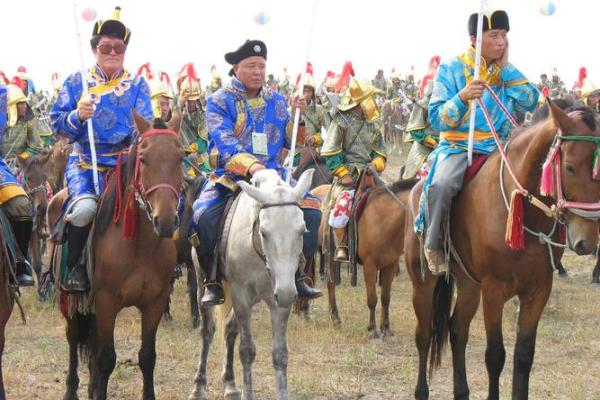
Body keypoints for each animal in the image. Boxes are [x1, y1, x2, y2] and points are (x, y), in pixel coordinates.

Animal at [55, 115, 184, 400]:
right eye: (143, 159)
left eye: (180, 158)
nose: (165, 221)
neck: (140, 248)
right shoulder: (107, 302)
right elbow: (106, 359)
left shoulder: (155, 303)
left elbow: (147, 357)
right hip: (69, 300)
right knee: (72, 340)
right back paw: (72, 390)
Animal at [190, 168, 316, 400]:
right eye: (264, 232)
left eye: (302, 231)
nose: (286, 293)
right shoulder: (241, 297)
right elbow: (247, 350)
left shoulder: (279, 302)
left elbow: (280, 354)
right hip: (204, 282)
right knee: (208, 331)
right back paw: (198, 387)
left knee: (229, 329)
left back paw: (230, 384)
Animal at [404, 102, 600, 400]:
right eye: (569, 167)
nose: (586, 240)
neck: (525, 213)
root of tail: (417, 188)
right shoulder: (494, 290)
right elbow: (495, 355)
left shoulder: (538, 290)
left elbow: (524, 355)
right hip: (423, 282)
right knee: (424, 333)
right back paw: (421, 391)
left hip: (468, 283)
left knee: (457, 329)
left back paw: (461, 391)